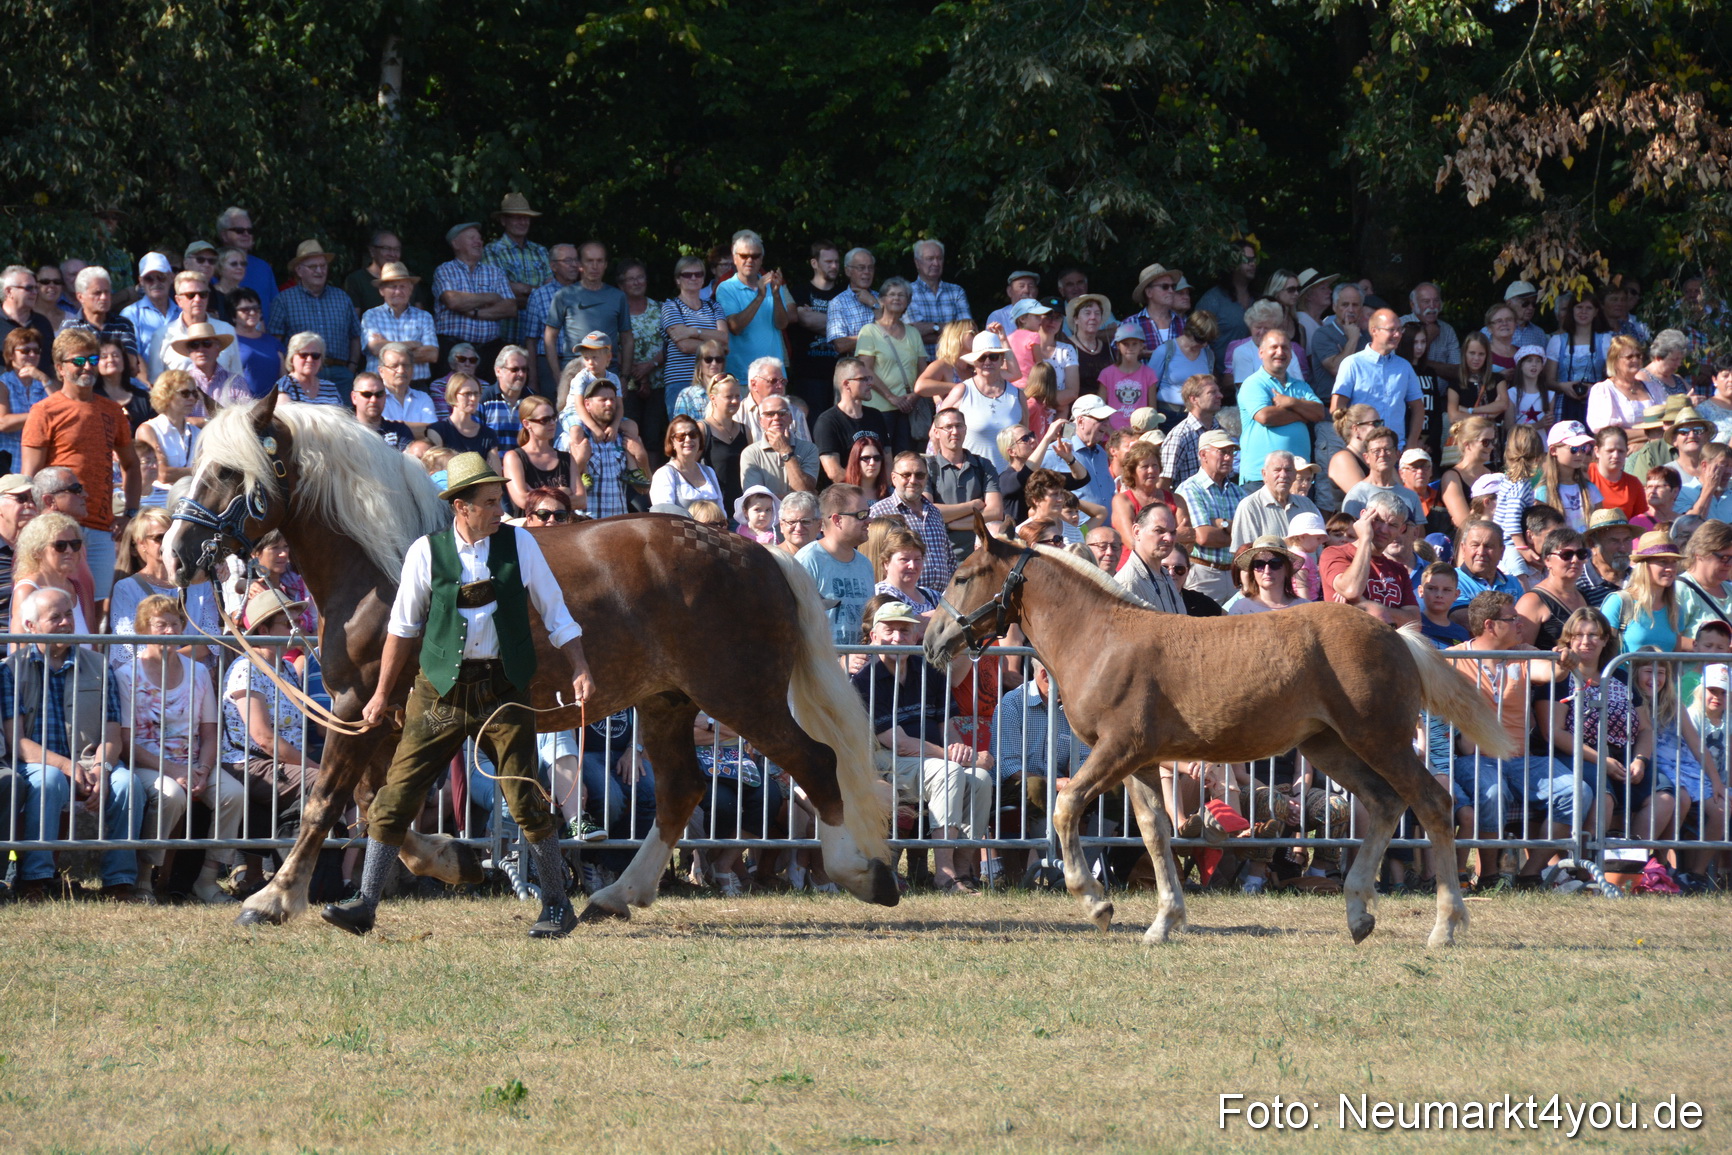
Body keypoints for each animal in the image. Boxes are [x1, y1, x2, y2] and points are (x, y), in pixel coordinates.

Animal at [164, 391, 898, 928]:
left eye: (227, 470)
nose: (175, 553)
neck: (384, 565)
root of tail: (757, 555)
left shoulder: (362, 707)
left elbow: (329, 801)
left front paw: (274, 898)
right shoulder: (381, 713)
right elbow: (378, 803)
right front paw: (452, 861)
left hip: (739, 695)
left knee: (814, 763)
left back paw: (863, 873)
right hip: (669, 702)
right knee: (683, 788)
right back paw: (617, 894)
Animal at [922, 520, 1517, 949]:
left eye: (962, 576)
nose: (931, 642)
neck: (1100, 637)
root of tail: (1397, 638)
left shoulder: (1117, 750)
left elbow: (1067, 807)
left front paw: (1097, 905)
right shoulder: (1139, 762)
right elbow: (1155, 832)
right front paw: (1162, 922)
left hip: (1379, 740)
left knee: (1431, 804)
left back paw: (1444, 927)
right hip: (1329, 746)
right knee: (1386, 804)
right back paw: (1357, 914)